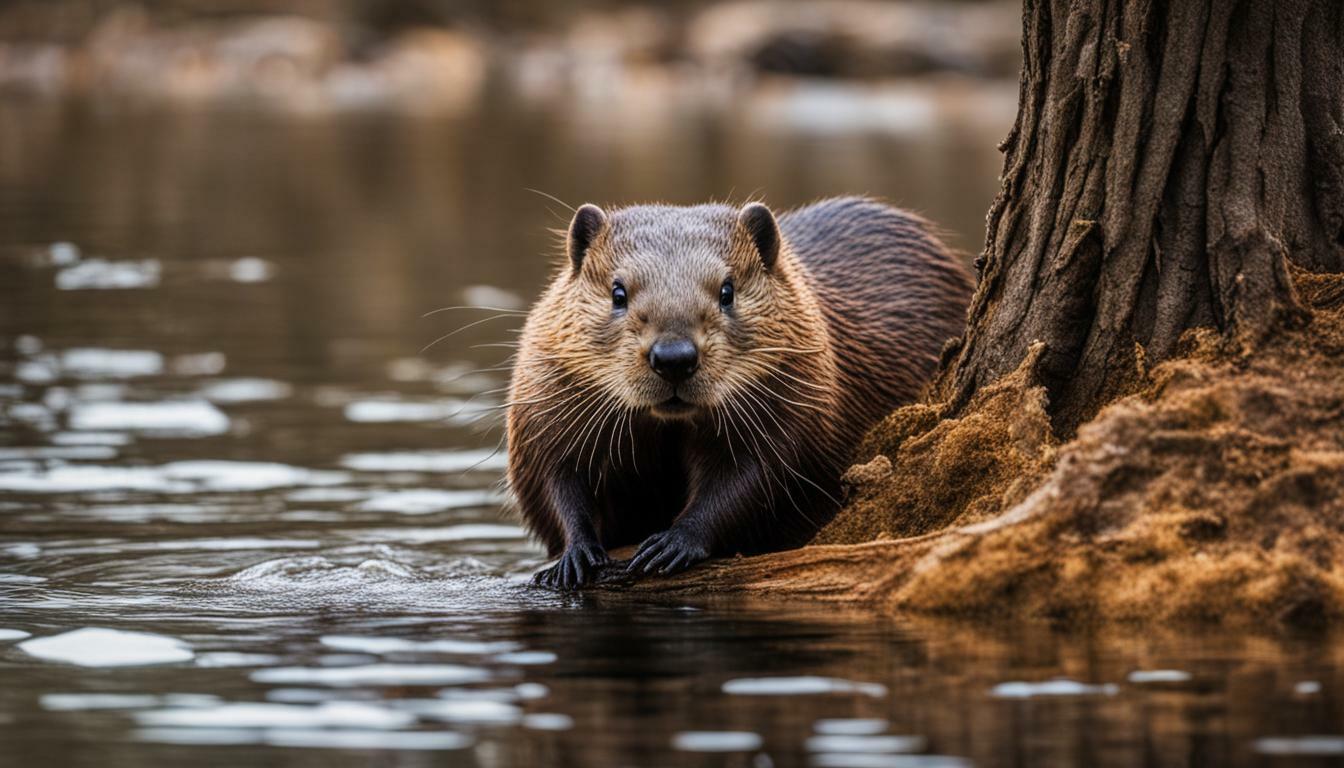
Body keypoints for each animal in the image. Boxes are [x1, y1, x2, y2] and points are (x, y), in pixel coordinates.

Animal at [508, 197, 973, 589]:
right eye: (617, 292)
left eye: (727, 290)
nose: (673, 357)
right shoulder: (546, 398)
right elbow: (557, 478)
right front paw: (575, 558)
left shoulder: (797, 401)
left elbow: (755, 477)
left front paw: (669, 546)